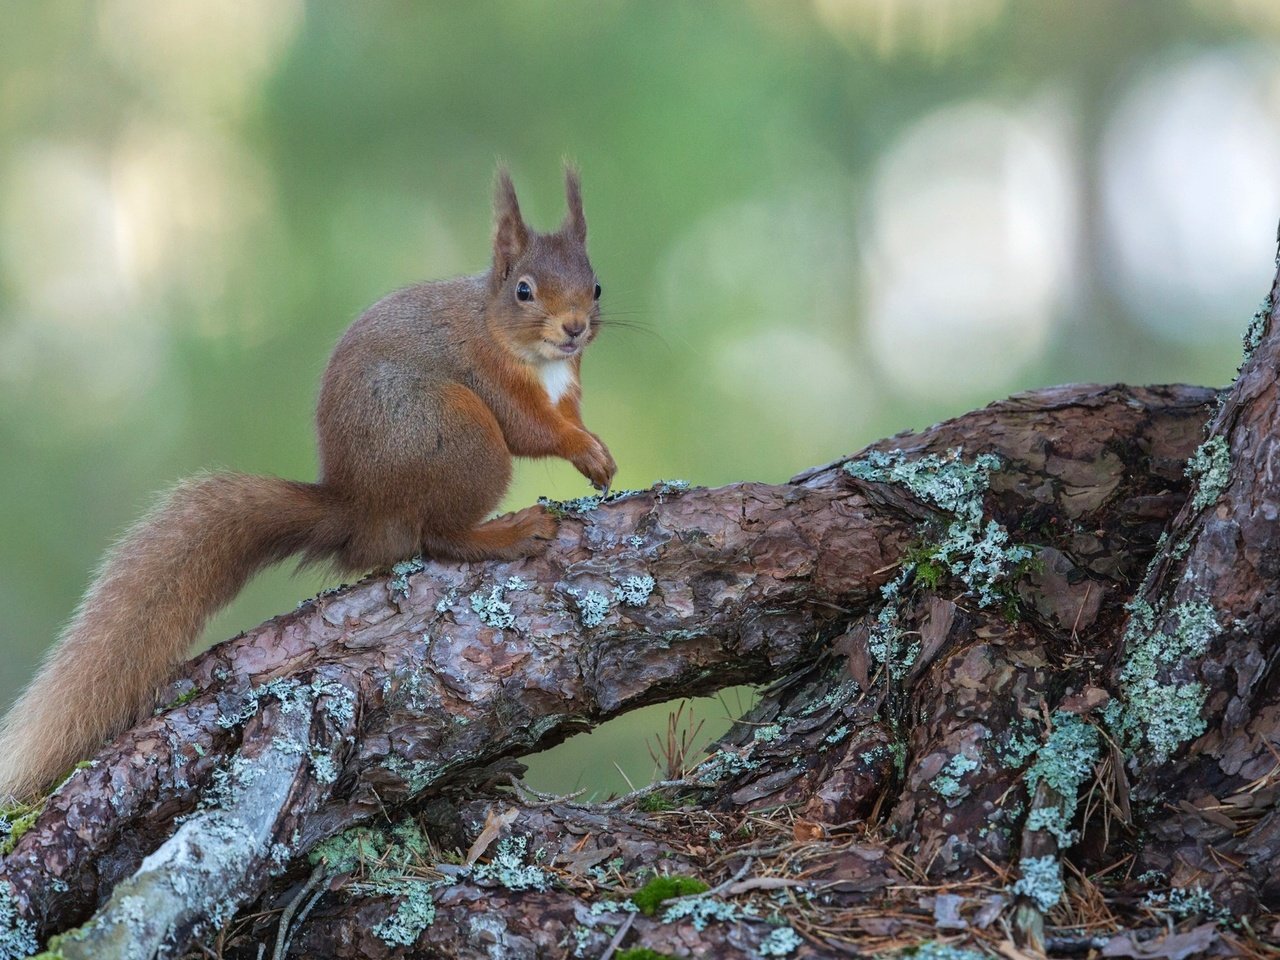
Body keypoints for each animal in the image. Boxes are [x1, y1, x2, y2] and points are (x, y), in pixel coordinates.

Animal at [0, 168, 614, 798]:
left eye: (596, 288)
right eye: (523, 291)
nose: (573, 329)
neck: (519, 343)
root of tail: (361, 511)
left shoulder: (568, 386)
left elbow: (569, 418)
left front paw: (596, 452)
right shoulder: (488, 375)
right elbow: (531, 430)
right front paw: (579, 449)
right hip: (463, 436)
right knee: (437, 536)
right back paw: (508, 532)